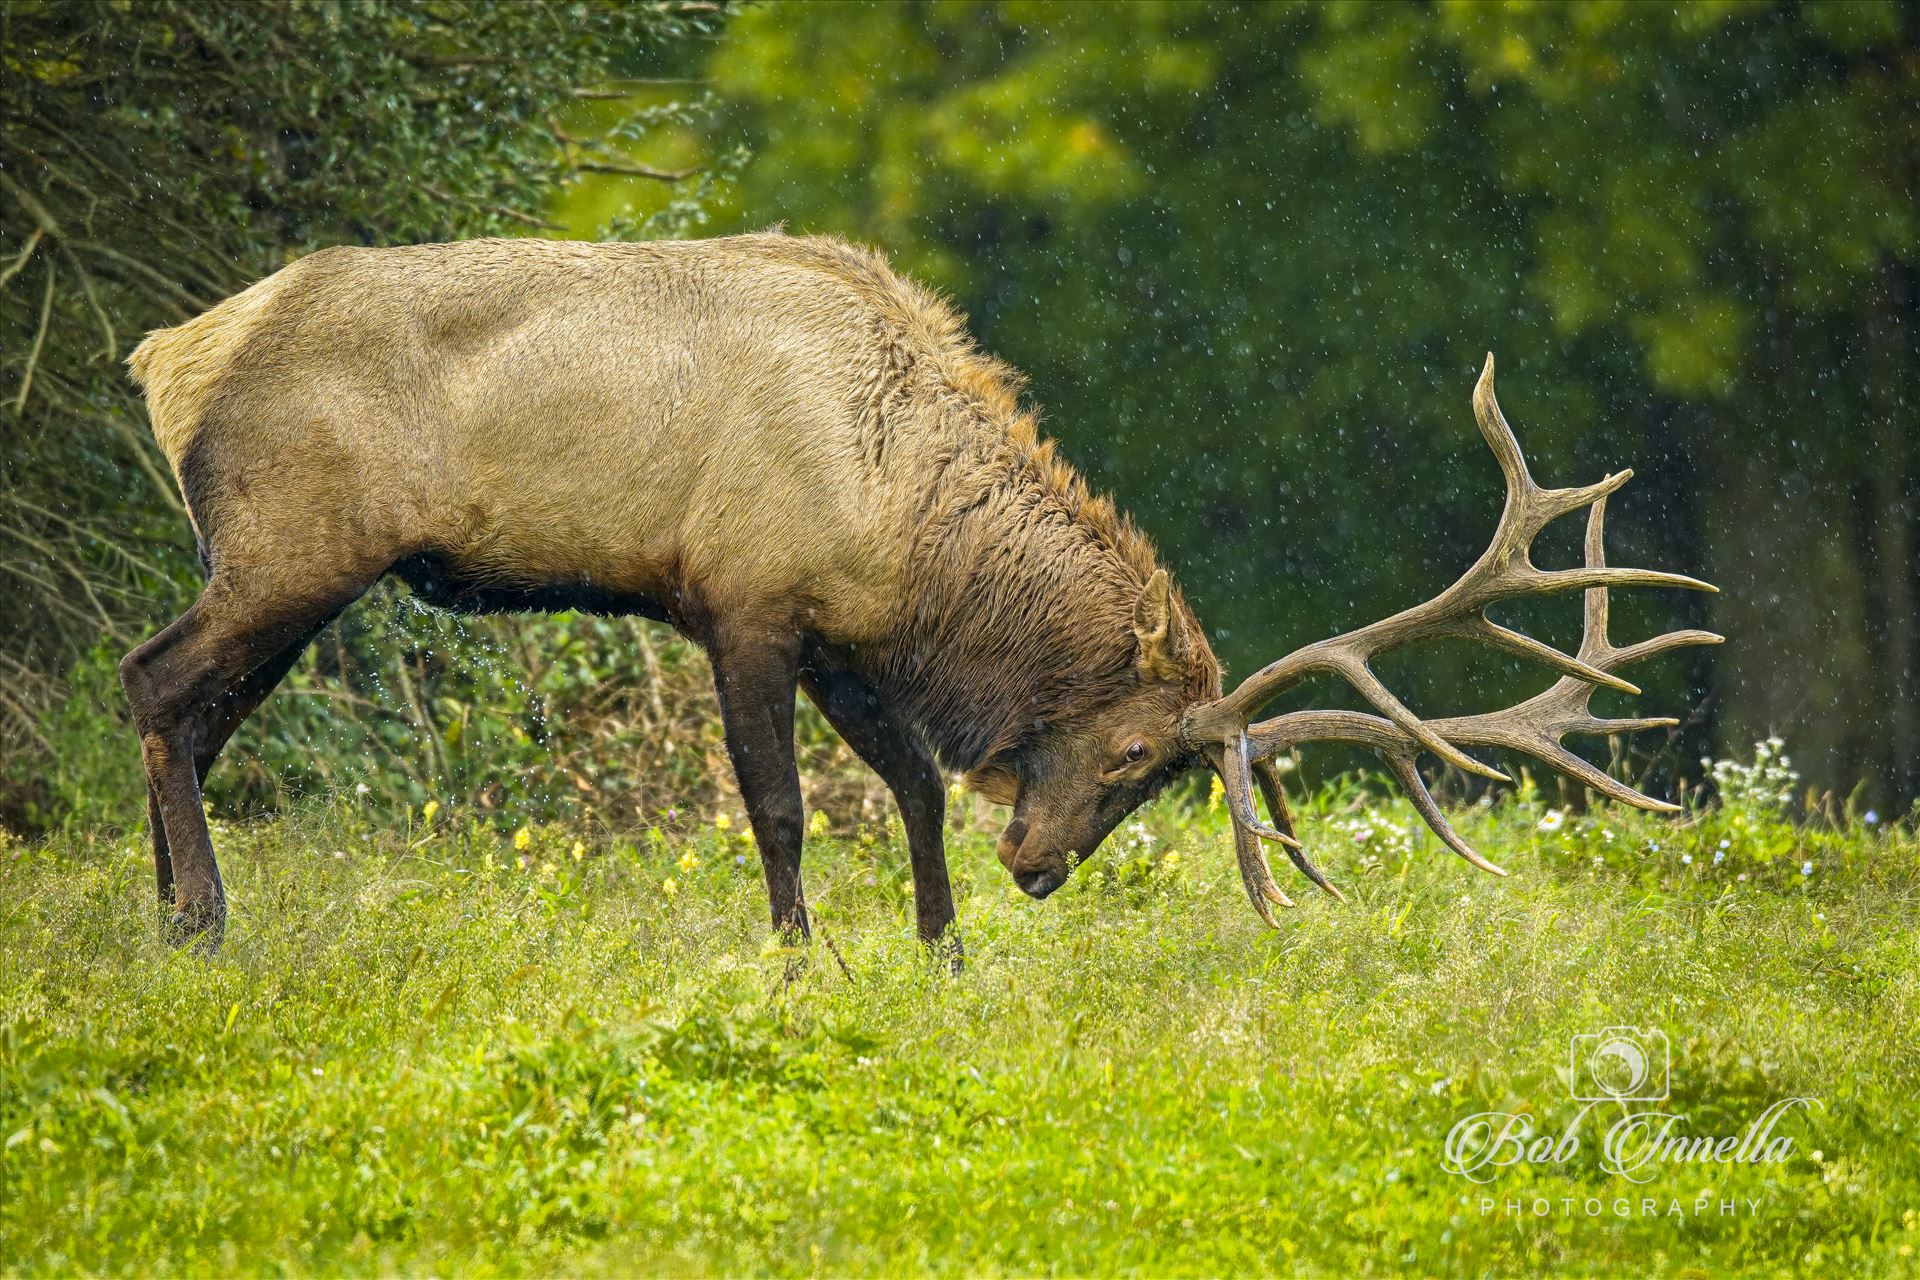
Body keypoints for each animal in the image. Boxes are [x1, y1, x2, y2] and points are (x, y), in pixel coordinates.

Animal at [123, 233, 1712, 951]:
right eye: (1140, 751)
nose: (1043, 869)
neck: (897, 524)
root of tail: (169, 356)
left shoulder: (840, 639)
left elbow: (917, 787)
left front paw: (943, 954)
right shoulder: (745, 598)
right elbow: (776, 805)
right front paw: (798, 957)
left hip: (288, 571)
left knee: (192, 711)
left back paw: (177, 917)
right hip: (292, 544)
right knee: (153, 680)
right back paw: (197, 917)